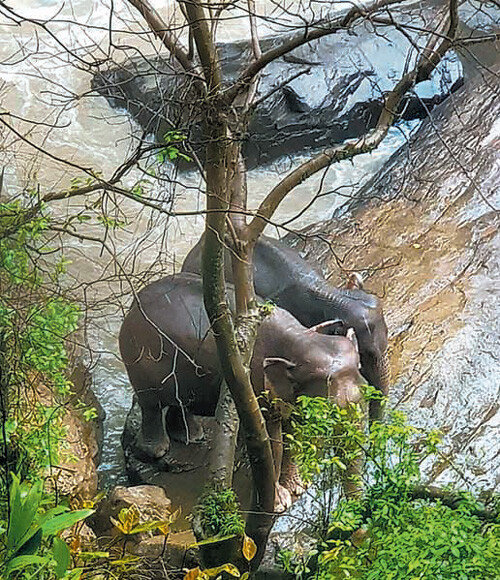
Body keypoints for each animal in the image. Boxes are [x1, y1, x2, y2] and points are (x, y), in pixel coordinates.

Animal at [119, 274, 366, 510]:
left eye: (360, 368)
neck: (299, 337)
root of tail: (133, 303)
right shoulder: (254, 386)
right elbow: (273, 440)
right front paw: (279, 504)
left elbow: (293, 432)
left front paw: (298, 488)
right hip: (140, 361)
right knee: (151, 404)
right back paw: (157, 451)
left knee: (180, 402)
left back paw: (192, 436)